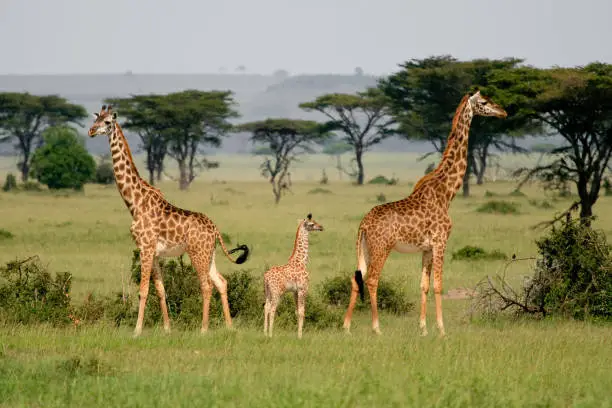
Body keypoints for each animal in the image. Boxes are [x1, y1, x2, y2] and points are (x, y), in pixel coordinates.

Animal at [87, 106, 250, 338]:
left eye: (108, 122)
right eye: (97, 119)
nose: (91, 131)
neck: (134, 203)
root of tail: (215, 229)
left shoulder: (145, 248)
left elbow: (143, 290)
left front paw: (137, 330)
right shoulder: (154, 253)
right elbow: (161, 290)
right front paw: (166, 328)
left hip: (197, 253)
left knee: (206, 285)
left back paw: (203, 329)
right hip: (210, 254)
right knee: (221, 282)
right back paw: (229, 326)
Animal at [344, 91, 506, 336]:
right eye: (484, 102)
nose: (503, 112)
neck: (446, 193)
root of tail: (363, 224)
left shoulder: (427, 248)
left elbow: (424, 285)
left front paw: (423, 328)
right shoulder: (441, 242)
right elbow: (438, 285)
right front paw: (441, 329)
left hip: (365, 249)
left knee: (357, 279)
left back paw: (346, 326)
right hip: (382, 248)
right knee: (372, 280)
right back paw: (376, 328)